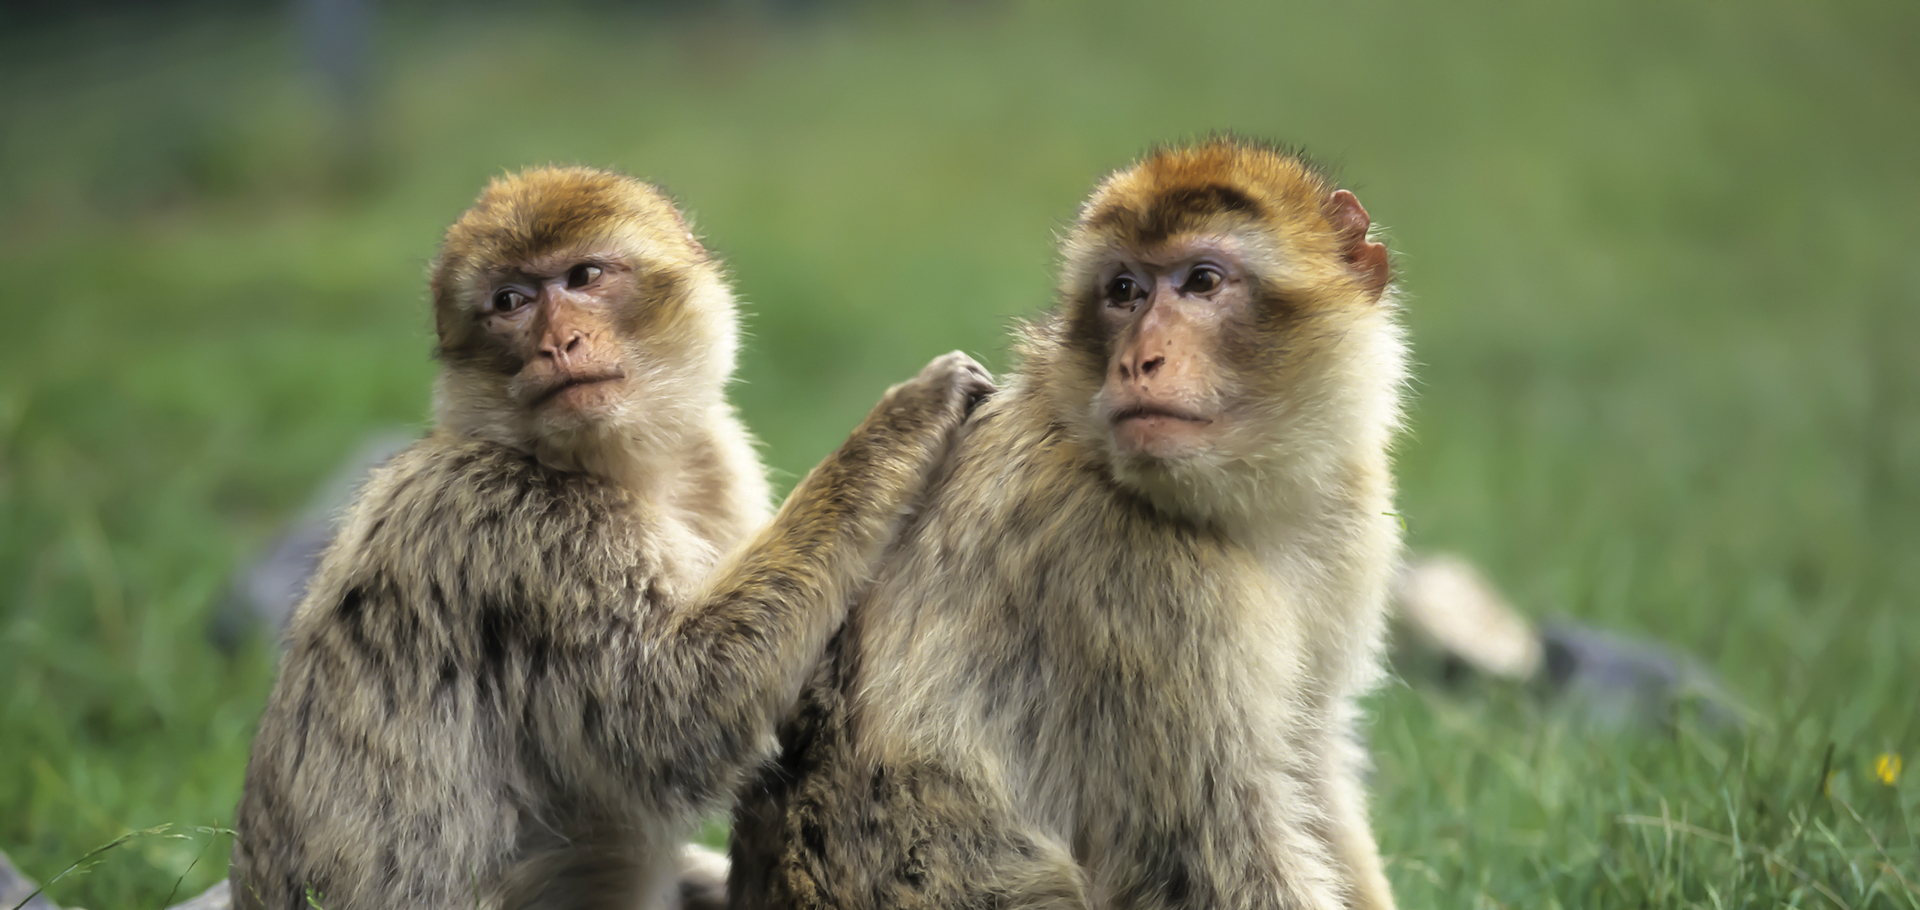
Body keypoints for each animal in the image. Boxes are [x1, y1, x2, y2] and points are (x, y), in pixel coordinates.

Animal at [228, 165, 994, 910]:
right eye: (510, 300)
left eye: (584, 277)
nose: (557, 342)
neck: (615, 471)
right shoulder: (512, 523)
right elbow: (676, 715)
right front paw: (904, 420)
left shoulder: (718, 459)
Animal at [728, 138, 1406, 910]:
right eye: (1125, 291)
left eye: (1203, 281)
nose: (1139, 360)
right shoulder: (1152, 588)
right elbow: (1206, 850)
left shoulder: (1347, 518)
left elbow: (1311, 757)